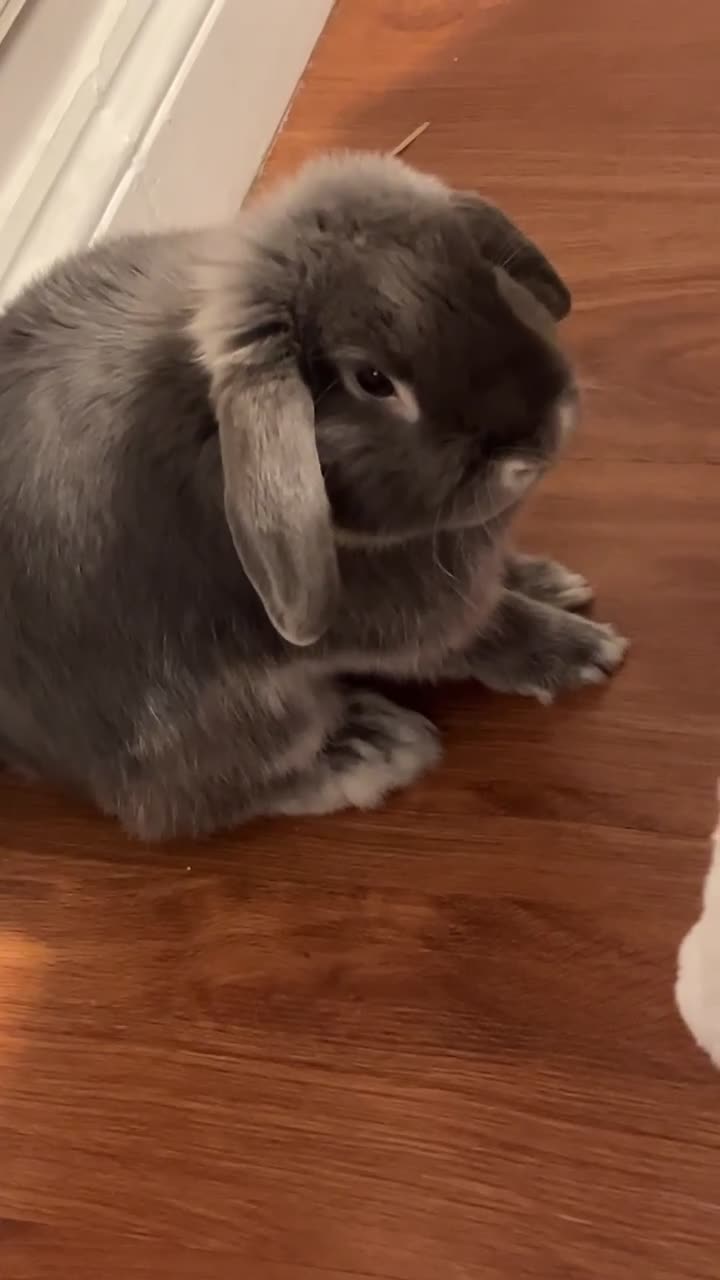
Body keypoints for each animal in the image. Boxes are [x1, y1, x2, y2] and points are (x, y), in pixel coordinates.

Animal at [0, 151, 628, 840]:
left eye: (485, 271)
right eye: (372, 380)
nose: (538, 435)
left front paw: (550, 579)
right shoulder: (420, 628)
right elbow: (490, 631)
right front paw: (585, 653)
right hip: (243, 723)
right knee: (186, 807)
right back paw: (374, 750)